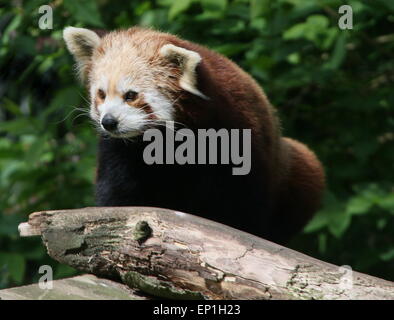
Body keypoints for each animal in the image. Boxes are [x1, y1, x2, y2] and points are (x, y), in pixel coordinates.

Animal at [63, 26, 324, 244]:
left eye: (130, 95)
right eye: (101, 94)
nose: (109, 122)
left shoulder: (236, 141)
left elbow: (242, 204)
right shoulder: (122, 153)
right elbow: (118, 193)